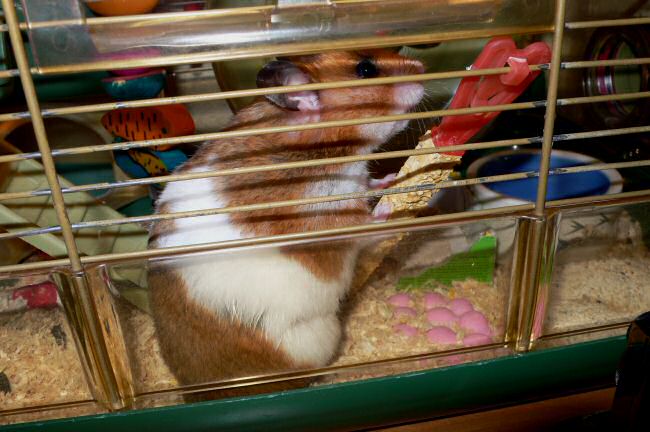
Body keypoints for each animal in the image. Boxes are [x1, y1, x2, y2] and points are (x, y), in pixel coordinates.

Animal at [148, 50, 424, 397]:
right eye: (365, 69)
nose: (422, 69)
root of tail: (203, 393)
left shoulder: (357, 184)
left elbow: (371, 185)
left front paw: (390, 179)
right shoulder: (334, 220)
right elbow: (368, 226)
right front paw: (392, 210)